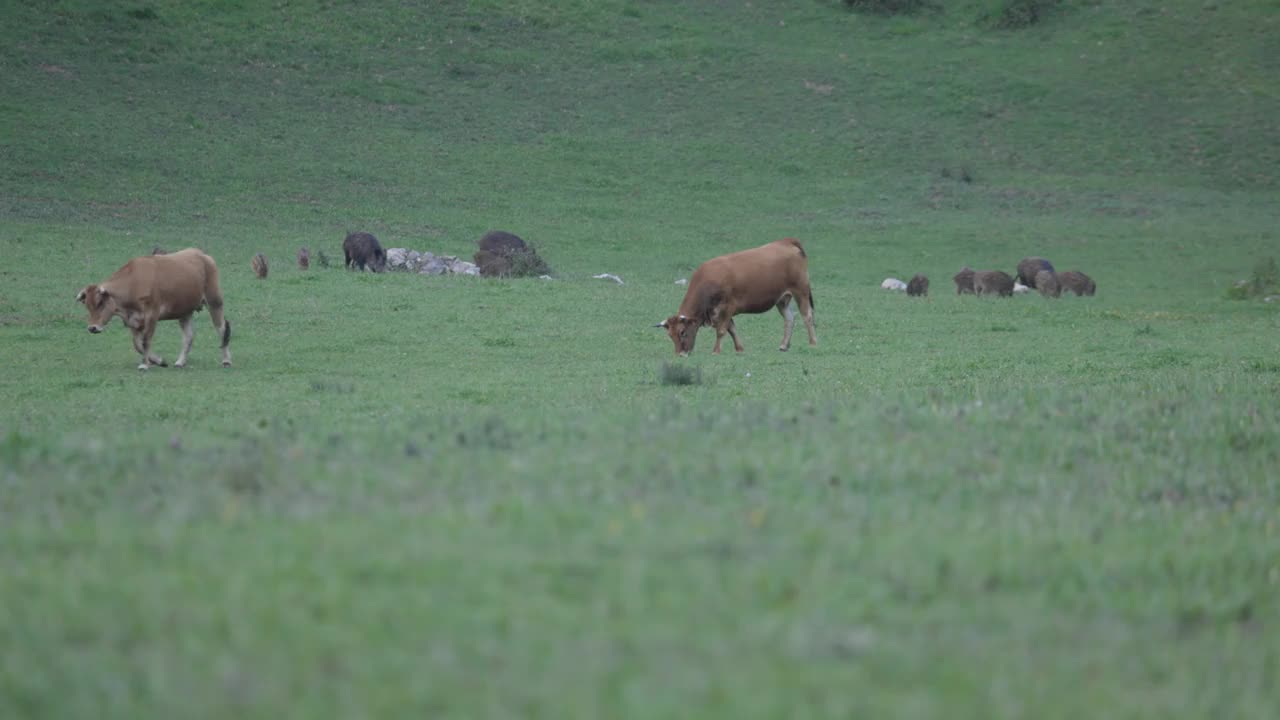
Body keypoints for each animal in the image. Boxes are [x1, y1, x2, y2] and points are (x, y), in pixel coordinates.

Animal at [75, 245, 232, 368]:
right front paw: (158, 361)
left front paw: (144, 365)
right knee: (188, 336)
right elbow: (137, 344)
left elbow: (145, 341)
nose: (92, 328)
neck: (134, 282)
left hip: (215, 301)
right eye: (87, 305)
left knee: (222, 329)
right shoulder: (132, 320)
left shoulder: (152, 315)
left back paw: (226, 360)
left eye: (100, 303)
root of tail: (202, 255)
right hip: (185, 310)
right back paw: (180, 362)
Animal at [655, 237, 814, 353]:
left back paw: (812, 342)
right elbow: (732, 329)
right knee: (790, 318)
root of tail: (786, 241)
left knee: (807, 316)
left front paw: (716, 351)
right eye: (670, 335)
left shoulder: (727, 307)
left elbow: (721, 330)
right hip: (782, 299)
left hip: (801, 292)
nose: (680, 354)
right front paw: (739, 348)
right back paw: (784, 345)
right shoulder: (720, 312)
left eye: (682, 332)